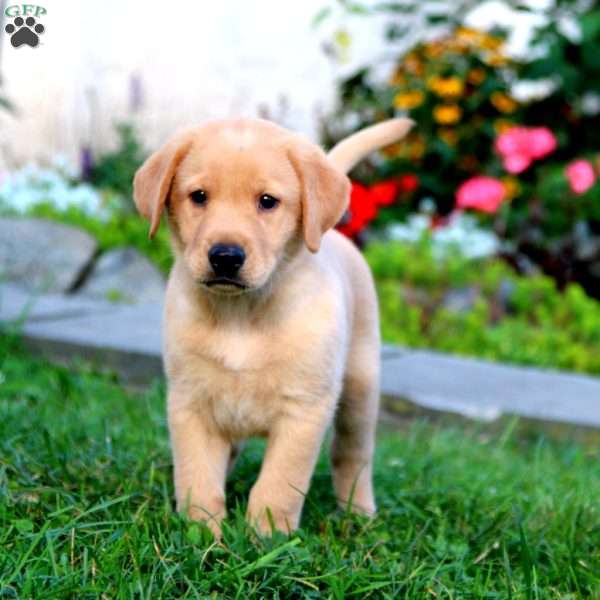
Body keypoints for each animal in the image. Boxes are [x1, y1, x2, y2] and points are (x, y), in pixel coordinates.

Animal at [133, 116, 412, 536]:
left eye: (267, 201)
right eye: (198, 196)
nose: (225, 257)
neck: (241, 312)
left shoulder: (304, 408)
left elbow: (278, 482)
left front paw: (266, 536)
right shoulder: (190, 401)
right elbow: (197, 474)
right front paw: (202, 533)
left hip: (360, 388)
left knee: (353, 454)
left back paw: (357, 513)